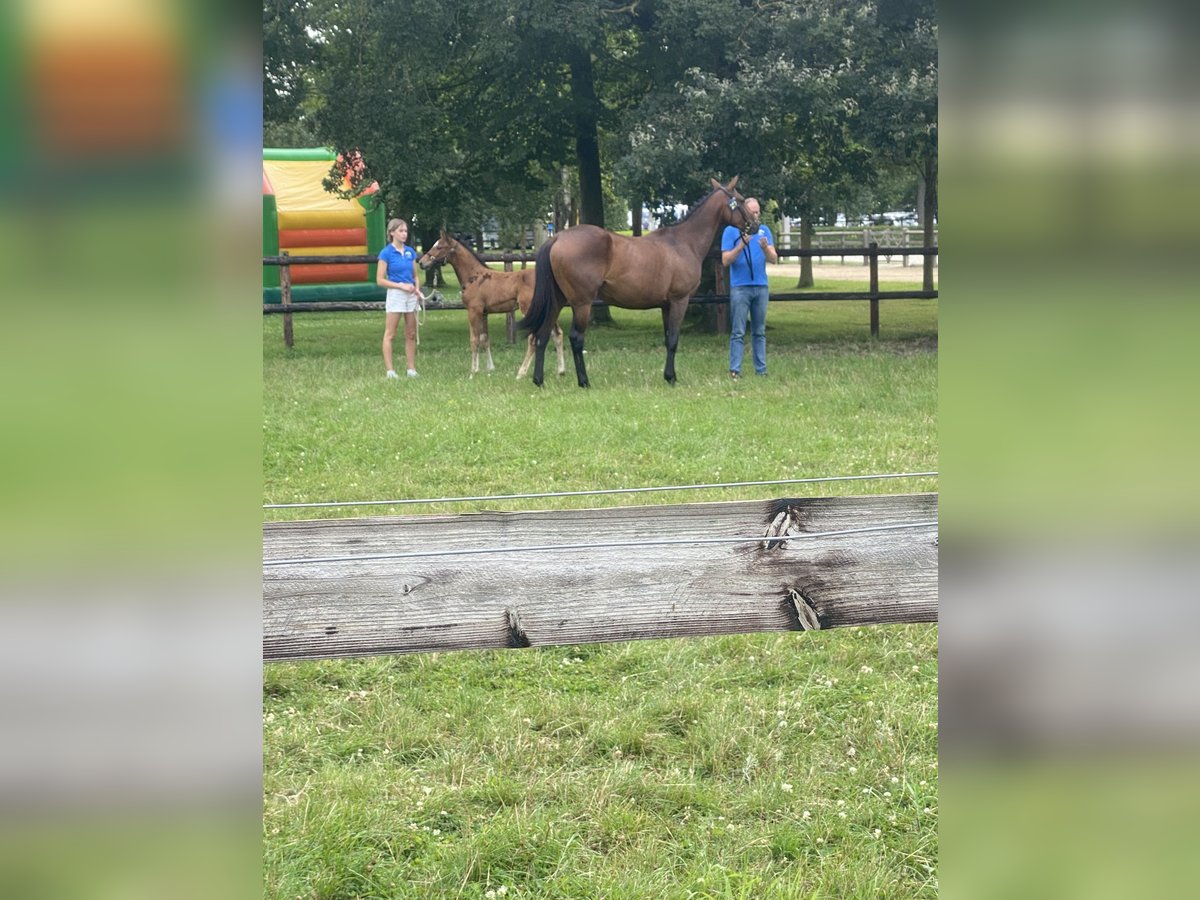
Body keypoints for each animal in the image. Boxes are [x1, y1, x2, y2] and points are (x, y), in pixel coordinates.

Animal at [417, 230, 566, 379]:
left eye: (439, 247)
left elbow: (474, 340)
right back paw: (561, 370)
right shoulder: (484, 313)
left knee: (534, 338)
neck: (474, 277)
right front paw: (490, 368)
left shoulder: (473, 311)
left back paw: (521, 373)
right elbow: (485, 339)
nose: (422, 262)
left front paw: (473, 371)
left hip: (530, 309)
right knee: (557, 334)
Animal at [516, 177, 748, 388]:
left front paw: (668, 376)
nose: (753, 225)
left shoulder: (666, 305)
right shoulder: (679, 301)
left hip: (556, 301)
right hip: (581, 304)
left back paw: (539, 381)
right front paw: (672, 378)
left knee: (542, 335)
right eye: (741, 200)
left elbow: (667, 339)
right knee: (576, 338)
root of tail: (557, 238)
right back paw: (584, 382)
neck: (683, 242)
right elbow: (674, 339)